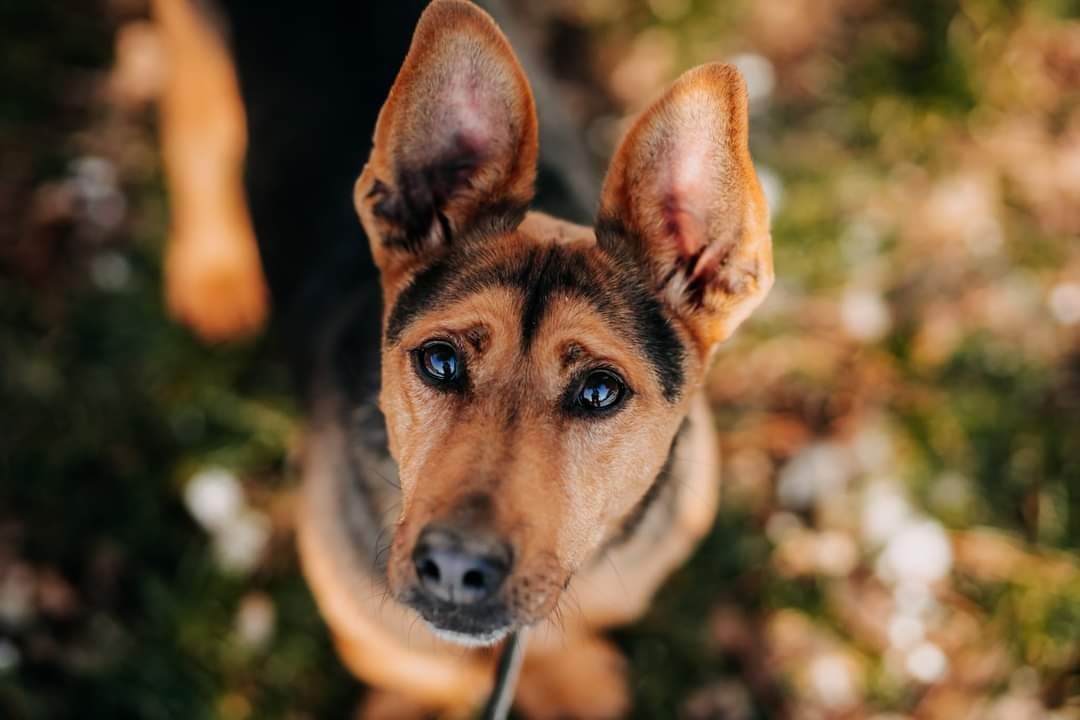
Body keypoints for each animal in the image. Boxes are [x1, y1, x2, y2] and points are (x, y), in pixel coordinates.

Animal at [156, 0, 773, 716]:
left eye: (599, 391)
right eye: (440, 361)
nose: (454, 568)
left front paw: (572, 679)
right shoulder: (372, 625)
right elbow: (442, 670)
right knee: (198, 137)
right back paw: (214, 273)